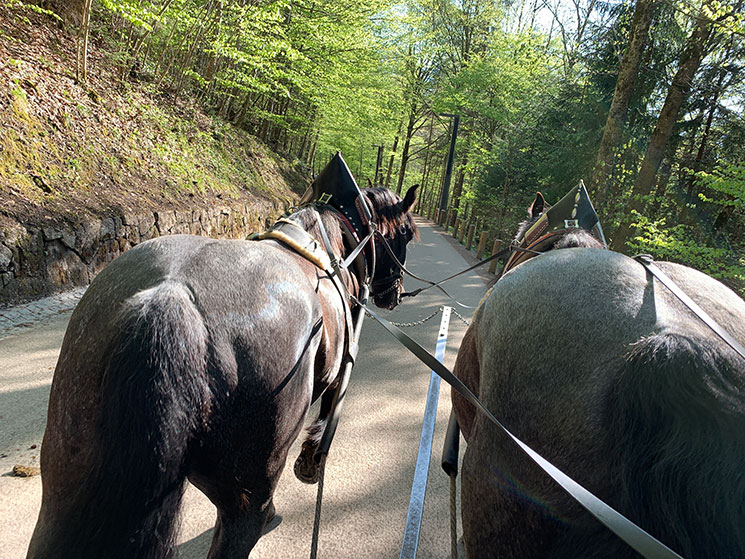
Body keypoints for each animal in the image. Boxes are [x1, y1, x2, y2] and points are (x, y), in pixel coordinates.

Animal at [27, 159, 418, 559]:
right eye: (406, 232)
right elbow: (327, 414)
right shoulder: (340, 368)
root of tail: (170, 298)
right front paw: (311, 461)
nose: (396, 294)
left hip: (64, 484)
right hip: (245, 497)